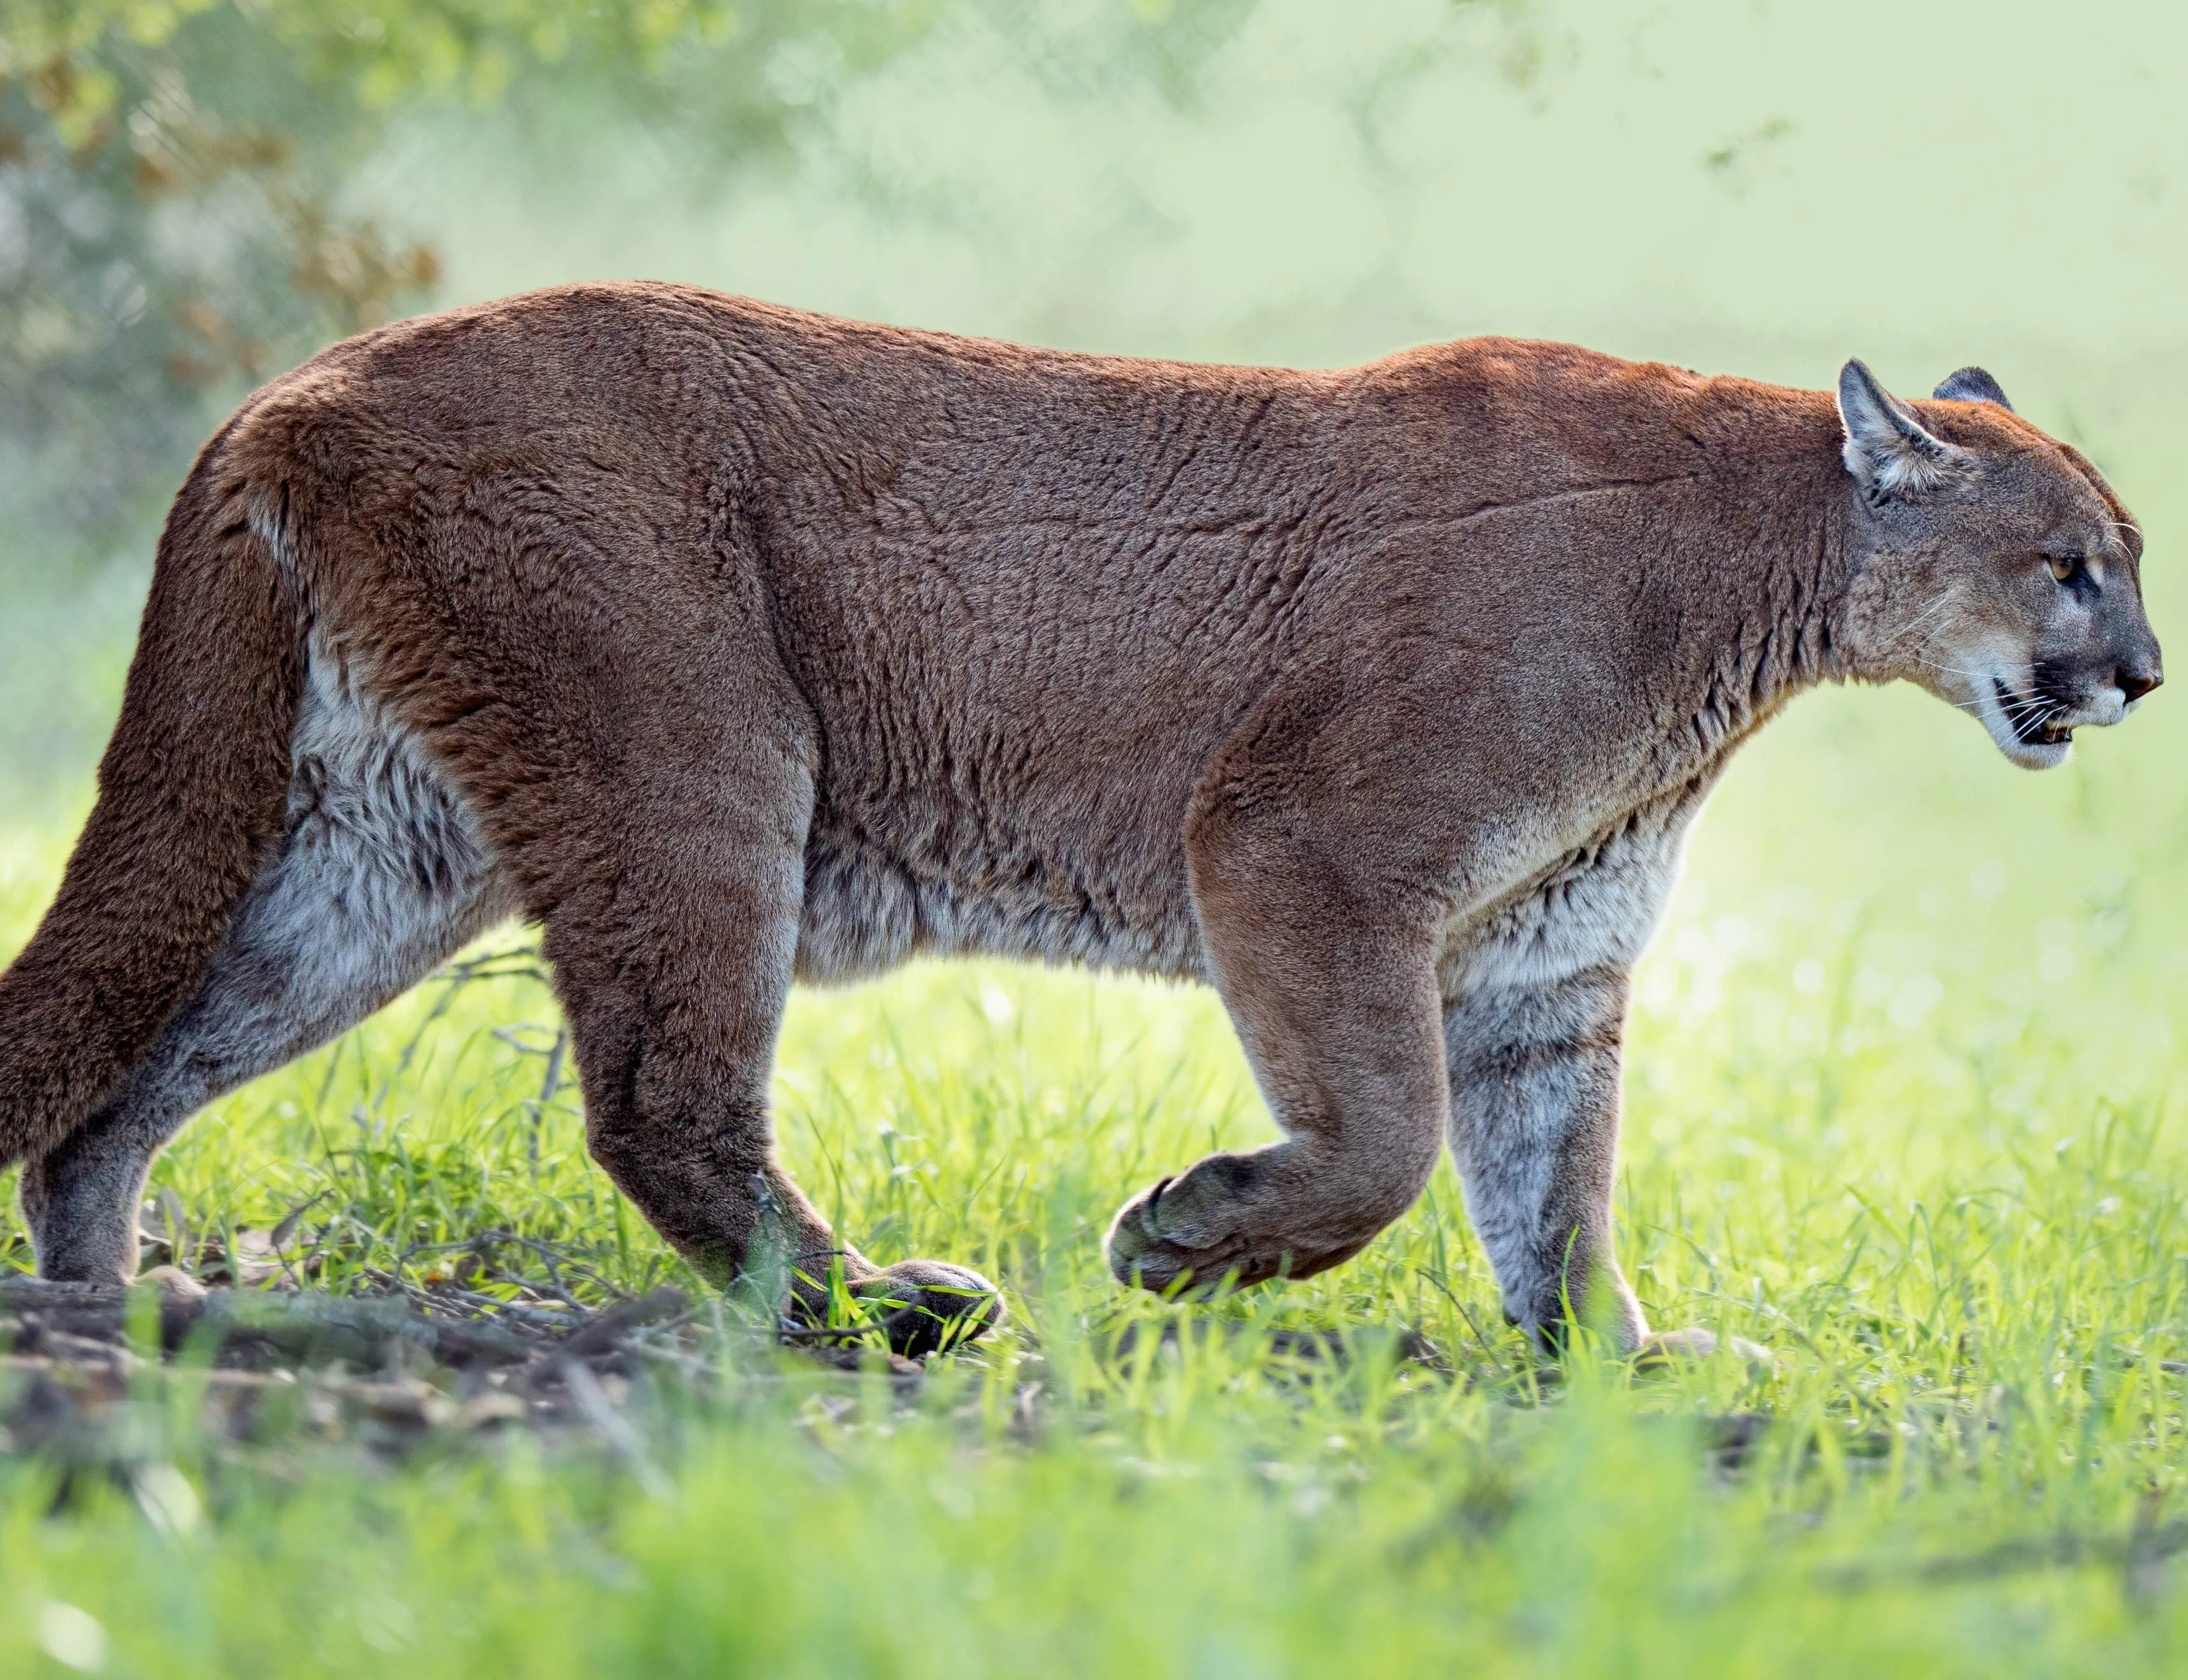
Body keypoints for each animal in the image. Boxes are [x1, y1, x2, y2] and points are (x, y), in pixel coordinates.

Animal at [0, 285, 2160, 1358]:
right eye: (2072, 564)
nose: (2146, 675)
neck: (1764, 580)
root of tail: (301, 386)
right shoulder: (1300, 840)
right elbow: (1390, 1140)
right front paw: (1190, 1243)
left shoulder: (1543, 954)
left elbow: (1553, 1181)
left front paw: (1612, 1375)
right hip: (697, 753)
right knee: (656, 1098)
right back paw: (871, 1315)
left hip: (378, 850)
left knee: (138, 1055)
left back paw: (107, 1298)